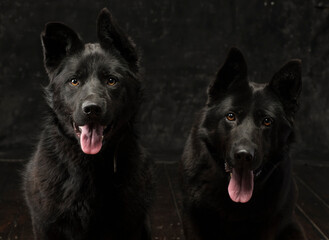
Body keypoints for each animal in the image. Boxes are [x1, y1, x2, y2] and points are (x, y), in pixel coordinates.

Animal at [23, 8, 154, 239]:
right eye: (74, 81)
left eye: (111, 80)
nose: (92, 109)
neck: (89, 163)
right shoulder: (45, 225)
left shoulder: (130, 224)